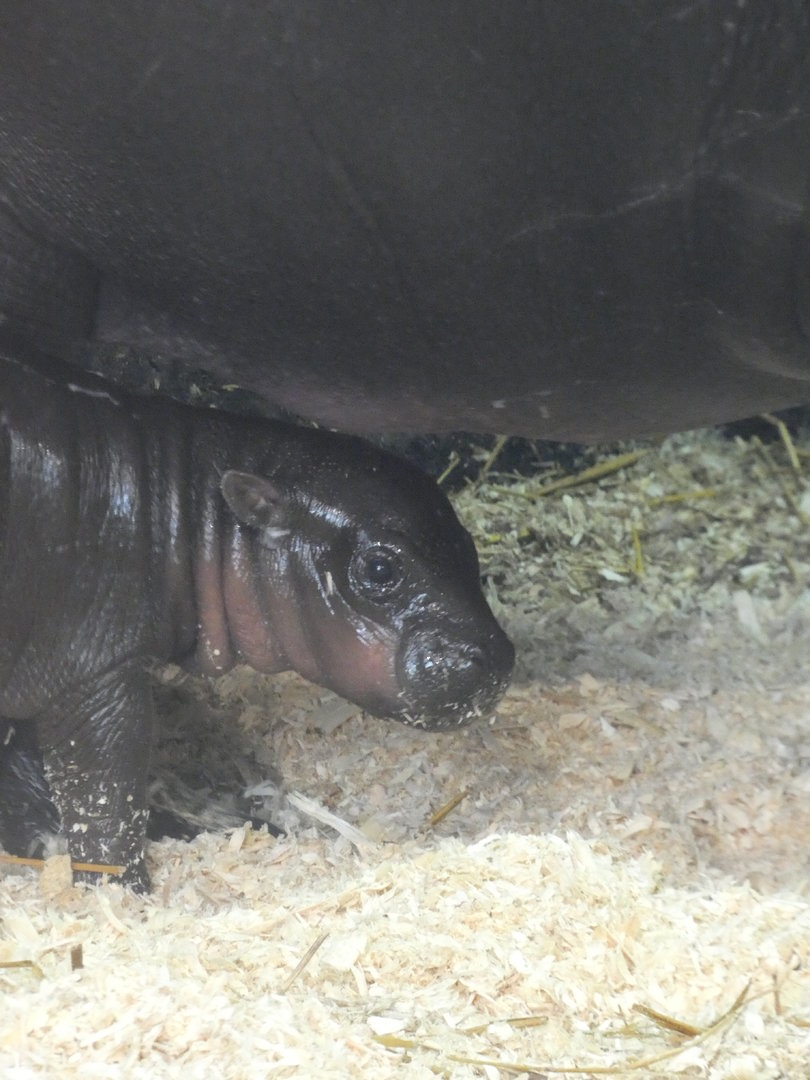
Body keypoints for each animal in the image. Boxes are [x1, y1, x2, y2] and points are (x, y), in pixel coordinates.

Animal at [0, 350, 514, 890]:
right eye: (380, 568)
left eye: (469, 544)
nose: (498, 659)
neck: (178, 500)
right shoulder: (90, 666)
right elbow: (104, 790)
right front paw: (122, 889)